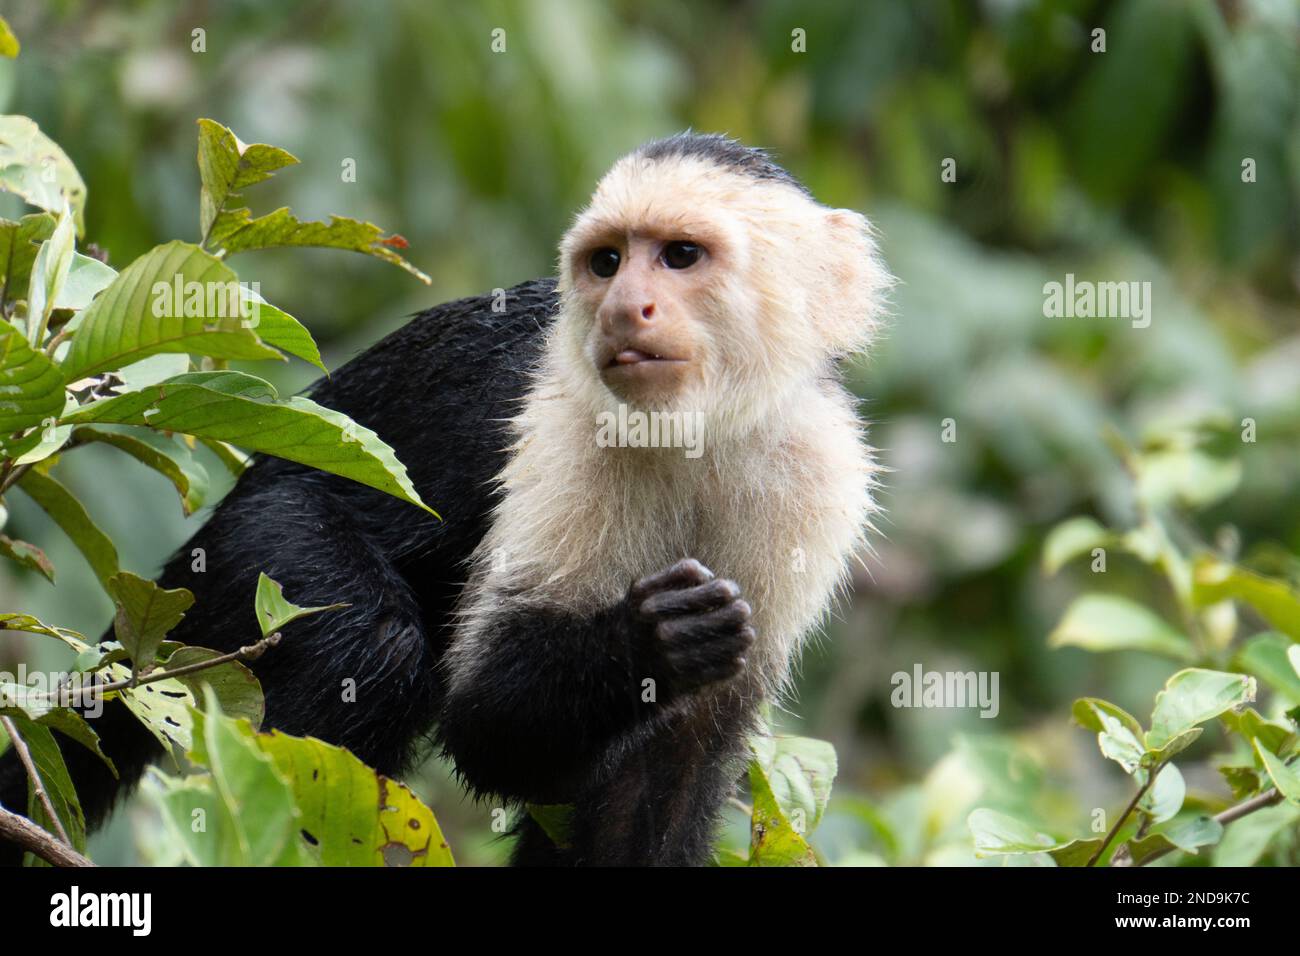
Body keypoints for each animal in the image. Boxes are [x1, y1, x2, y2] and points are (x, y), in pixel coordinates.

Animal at [0, 132, 889, 868]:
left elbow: (668, 763)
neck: (695, 427)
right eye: (607, 263)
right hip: (256, 542)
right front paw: (653, 639)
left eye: (679, 256)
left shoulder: (818, 473)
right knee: (370, 642)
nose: (621, 307)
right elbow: (488, 729)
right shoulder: (564, 434)